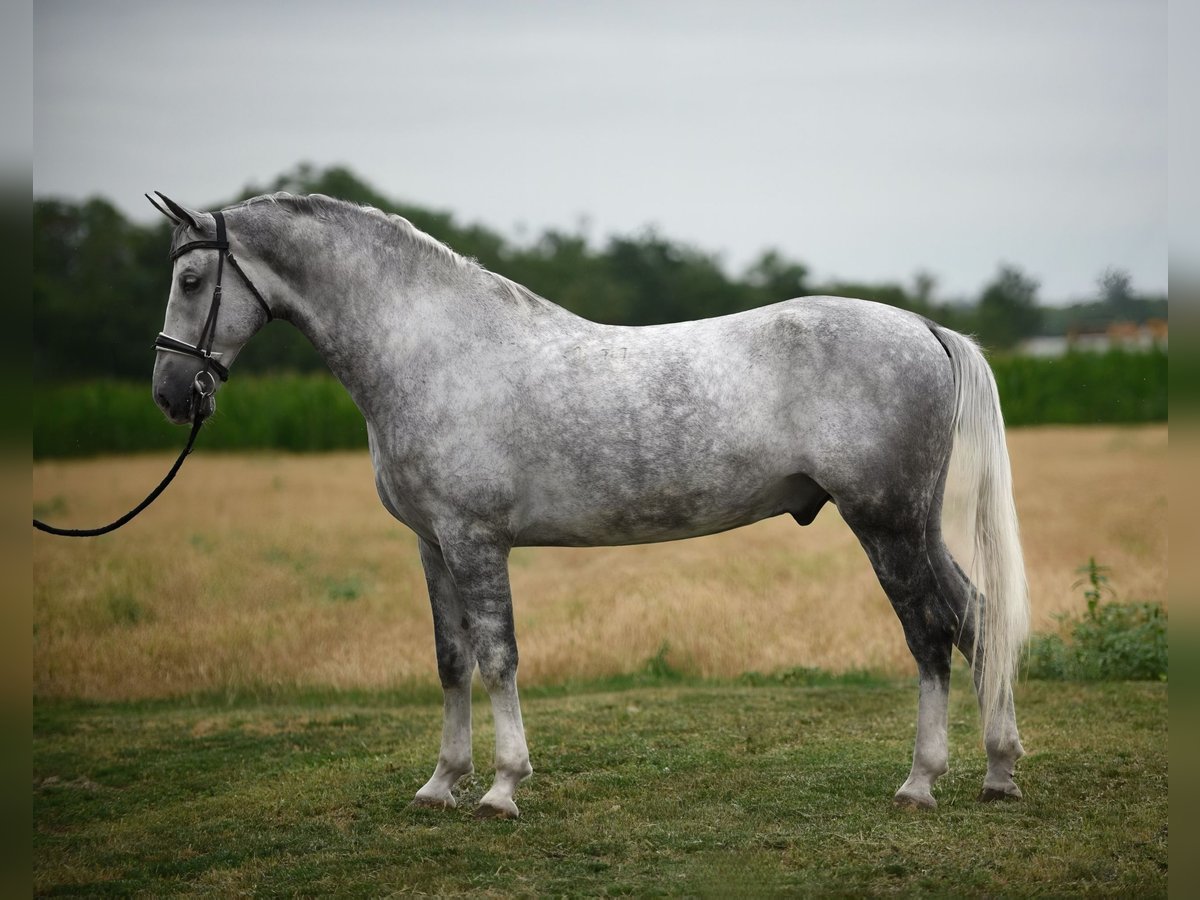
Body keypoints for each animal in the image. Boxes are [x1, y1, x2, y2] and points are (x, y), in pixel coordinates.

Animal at [150, 194, 1032, 820]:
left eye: (192, 281)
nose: (169, 393)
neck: (434, 352)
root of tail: (922, 327)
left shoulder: (475, 541)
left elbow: (498, 657)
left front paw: (501, 789)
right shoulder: (432, 545)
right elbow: (450, 660)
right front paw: (440, 784)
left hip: (886, 522)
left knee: (930, 633)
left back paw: (920, 783)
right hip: (914, 524)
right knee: (978, 617)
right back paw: (998, 772)